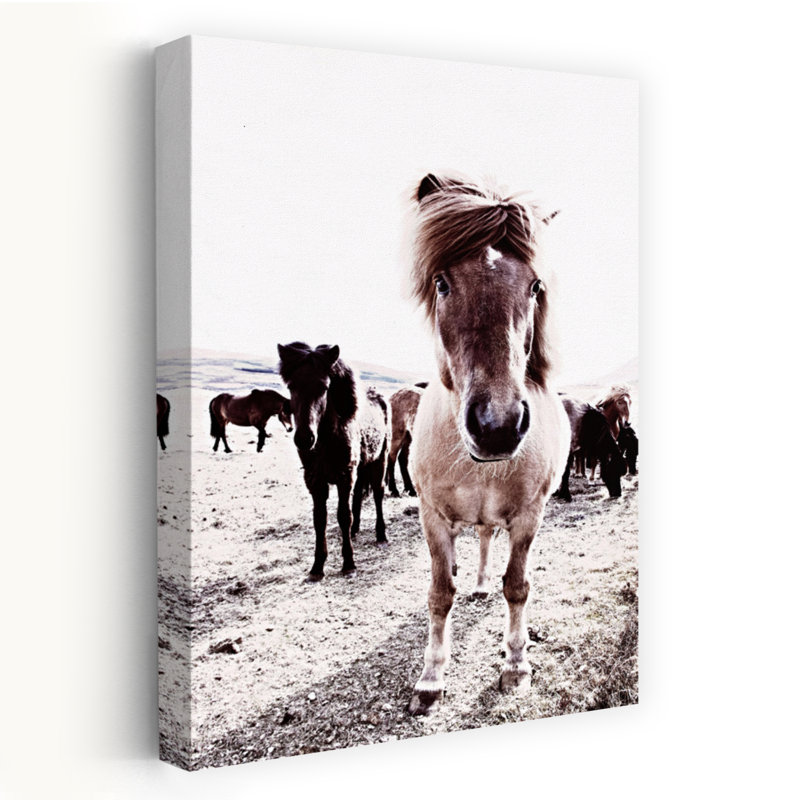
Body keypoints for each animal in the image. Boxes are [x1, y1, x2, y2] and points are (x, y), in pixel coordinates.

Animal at [278, 341, 390, 580]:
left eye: (323, 387)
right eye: (291, 386)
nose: (304, 438)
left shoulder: (344, 475)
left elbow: (343, 515)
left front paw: (348, 563)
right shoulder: (315, 480)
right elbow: (320, 518)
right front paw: (317, 566)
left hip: (379, 461)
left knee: (377, 494)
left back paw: (381, 535)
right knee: (358, 496)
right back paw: (355, 531)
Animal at [406, 173, 570, 715]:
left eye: (535, 286)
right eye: (442, 283)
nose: (497, 424)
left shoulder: (529, 517)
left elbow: (517, 587)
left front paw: (516, 664)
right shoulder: (432, 517)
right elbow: (440, 593)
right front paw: (431, 678)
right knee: (478, 542)